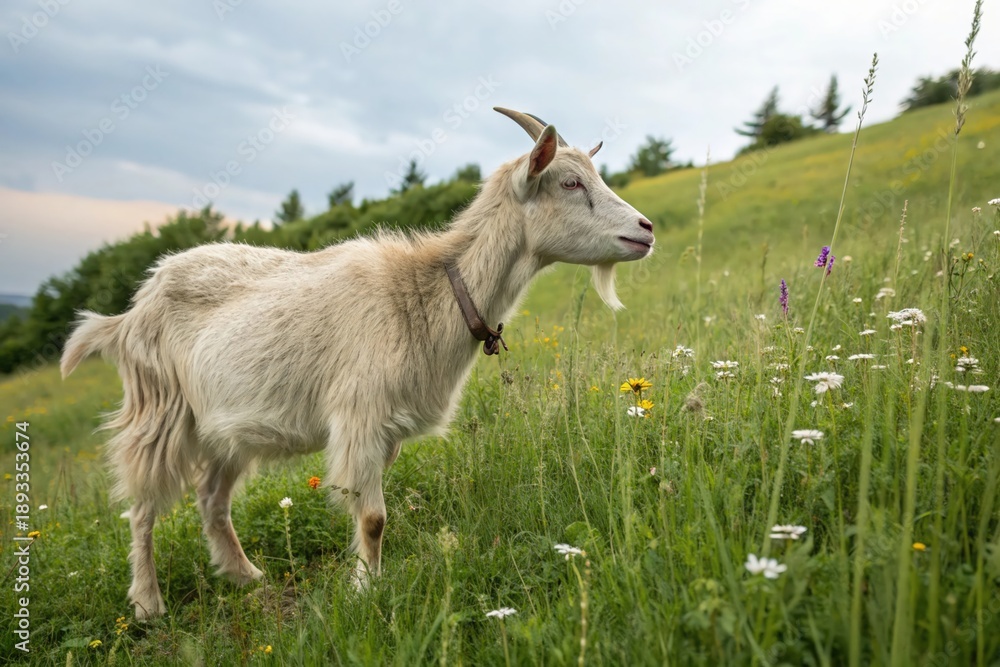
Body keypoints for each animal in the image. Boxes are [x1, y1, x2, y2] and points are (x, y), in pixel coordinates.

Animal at [60, 107, 655, 619]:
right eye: (570, 183)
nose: (646, 229)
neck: (425, 294)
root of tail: (130, 311)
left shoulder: (383, 430)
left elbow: (367, 511)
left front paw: (362, 580)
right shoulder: (360, 416)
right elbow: (373, 518)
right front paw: (367, 592)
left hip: (226, 424)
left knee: (211, 499)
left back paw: (246, 576)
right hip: (158, 407)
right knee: (141, 507)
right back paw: (147, 603)